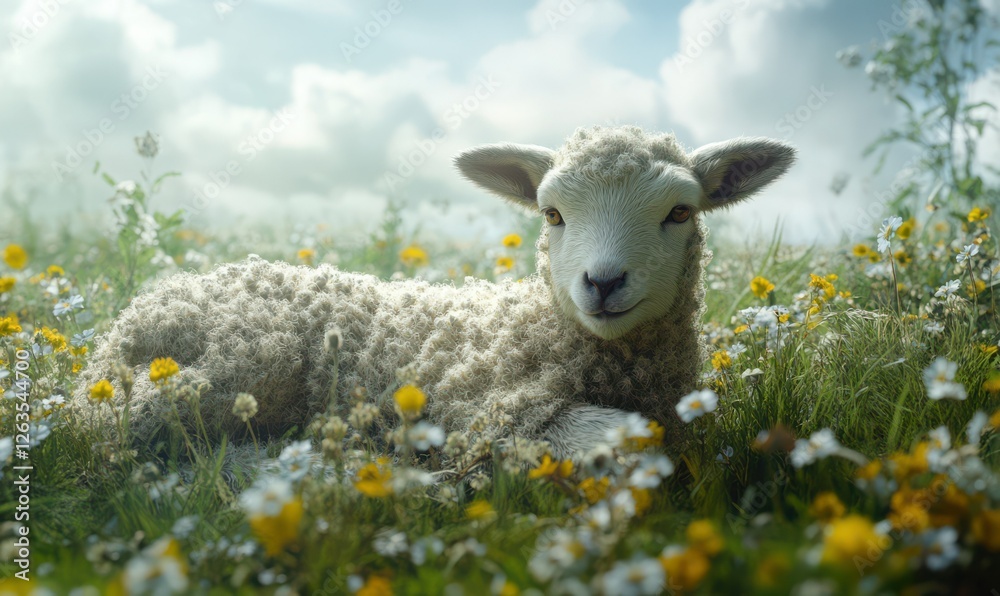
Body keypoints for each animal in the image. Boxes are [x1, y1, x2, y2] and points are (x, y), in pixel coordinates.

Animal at [72, 125, 795, 457]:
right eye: (551, 214)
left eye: (680, 212)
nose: (603, 281)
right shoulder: (488, 411)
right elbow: (623, 435)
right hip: (228, 367)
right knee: (107, 437)